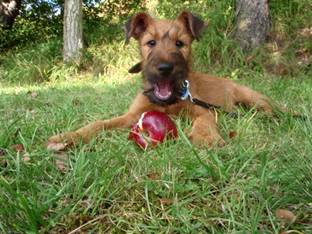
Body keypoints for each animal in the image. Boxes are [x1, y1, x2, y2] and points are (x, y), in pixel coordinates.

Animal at [47, 10, 276, 150]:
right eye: (151, 43)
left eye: (179, 43)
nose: (165, 68)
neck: (167, 101)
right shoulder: (132, 116)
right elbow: (100, 123)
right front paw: (69, 137)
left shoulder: (202, 109)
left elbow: (204, 122)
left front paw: (206, 139)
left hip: (249, 95)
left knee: (266, 107)